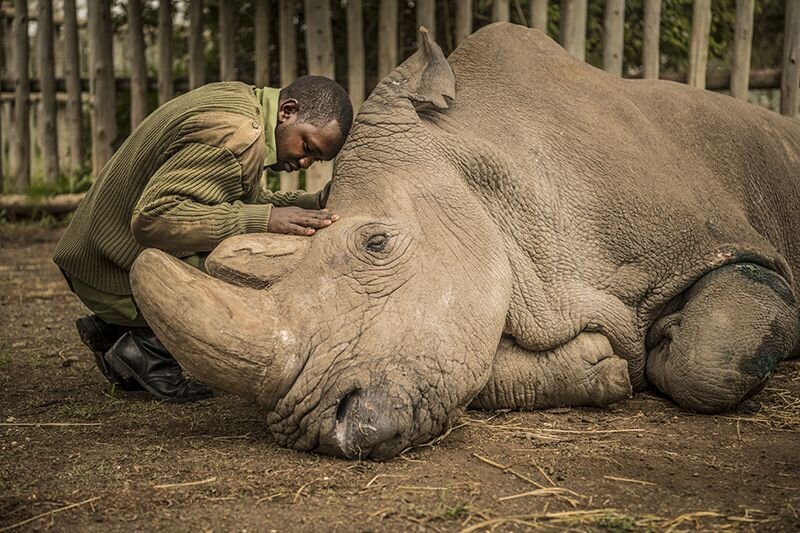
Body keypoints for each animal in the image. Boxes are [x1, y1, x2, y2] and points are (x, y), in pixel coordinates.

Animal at [131, 22, 800, 460]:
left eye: (377, 244)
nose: (320, 429)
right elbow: (477, 368)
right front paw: (604, 366)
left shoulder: (722, 245)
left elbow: (708, 358)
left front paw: (664, 343)